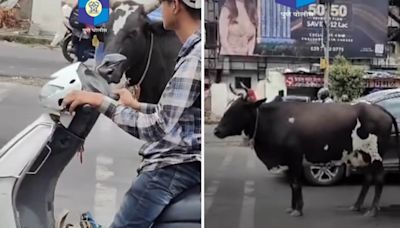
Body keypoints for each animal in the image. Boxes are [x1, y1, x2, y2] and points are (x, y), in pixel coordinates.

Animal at [216, 84, 400, 217]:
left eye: (236, 110)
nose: (216, 130)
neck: (273, 120)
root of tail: (381, 110)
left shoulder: (294, 158)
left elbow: (296, 184)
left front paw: (298, 209)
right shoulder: (289, 161)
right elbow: (292, 184)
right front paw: (292, 208)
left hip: (376, 155)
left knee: (379, 178)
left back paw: (373, 210)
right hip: (363, 155)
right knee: (368, 178)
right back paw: (357, 206)